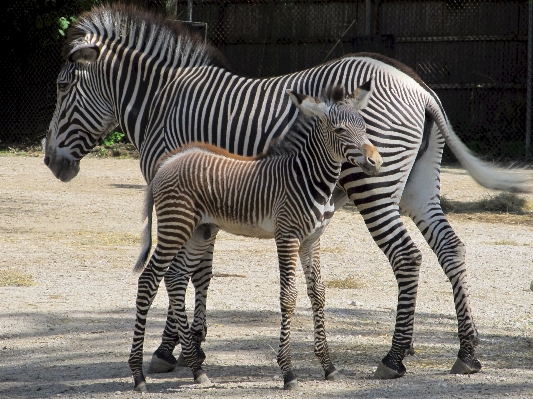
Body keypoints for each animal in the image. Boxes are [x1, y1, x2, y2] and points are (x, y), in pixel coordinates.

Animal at [130, 86, 380, 392]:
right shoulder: (287, 236)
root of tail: (169, 161)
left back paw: (197, 369)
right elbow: (289, 296)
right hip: (175, 226)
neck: (306, 178)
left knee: (175, 279)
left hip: (199, 231)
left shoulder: (312, 240)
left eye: (364, 127)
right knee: (149, 279)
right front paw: (288, 372)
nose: (376, 162)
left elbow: (318, 293)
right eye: (340, 130)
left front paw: (328, 366)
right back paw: (138, 375)